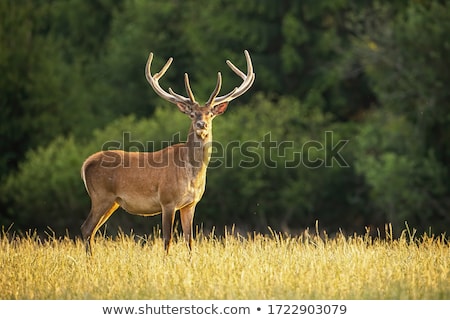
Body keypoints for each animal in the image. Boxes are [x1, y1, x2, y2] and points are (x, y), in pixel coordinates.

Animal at [78, 50, 253, 255]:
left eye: (210, 113)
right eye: (192, 114)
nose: (201, 125)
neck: (192, 176)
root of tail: (86, 164)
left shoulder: (190, 204)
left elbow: (189, 240)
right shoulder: (167, 200)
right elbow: (167, 239)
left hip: (112, 202)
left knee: (92, 230)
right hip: (101, 196)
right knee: (86, 228)